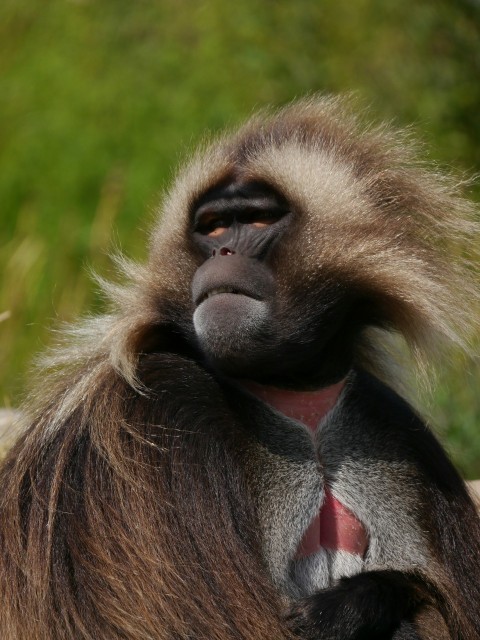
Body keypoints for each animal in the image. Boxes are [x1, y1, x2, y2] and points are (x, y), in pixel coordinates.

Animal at [0, 96, 480, 640]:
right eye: (211, 228)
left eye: (255, 221)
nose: (224, 253)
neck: (297, 401)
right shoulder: (157, 418)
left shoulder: (390, 423)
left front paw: (358, 601)